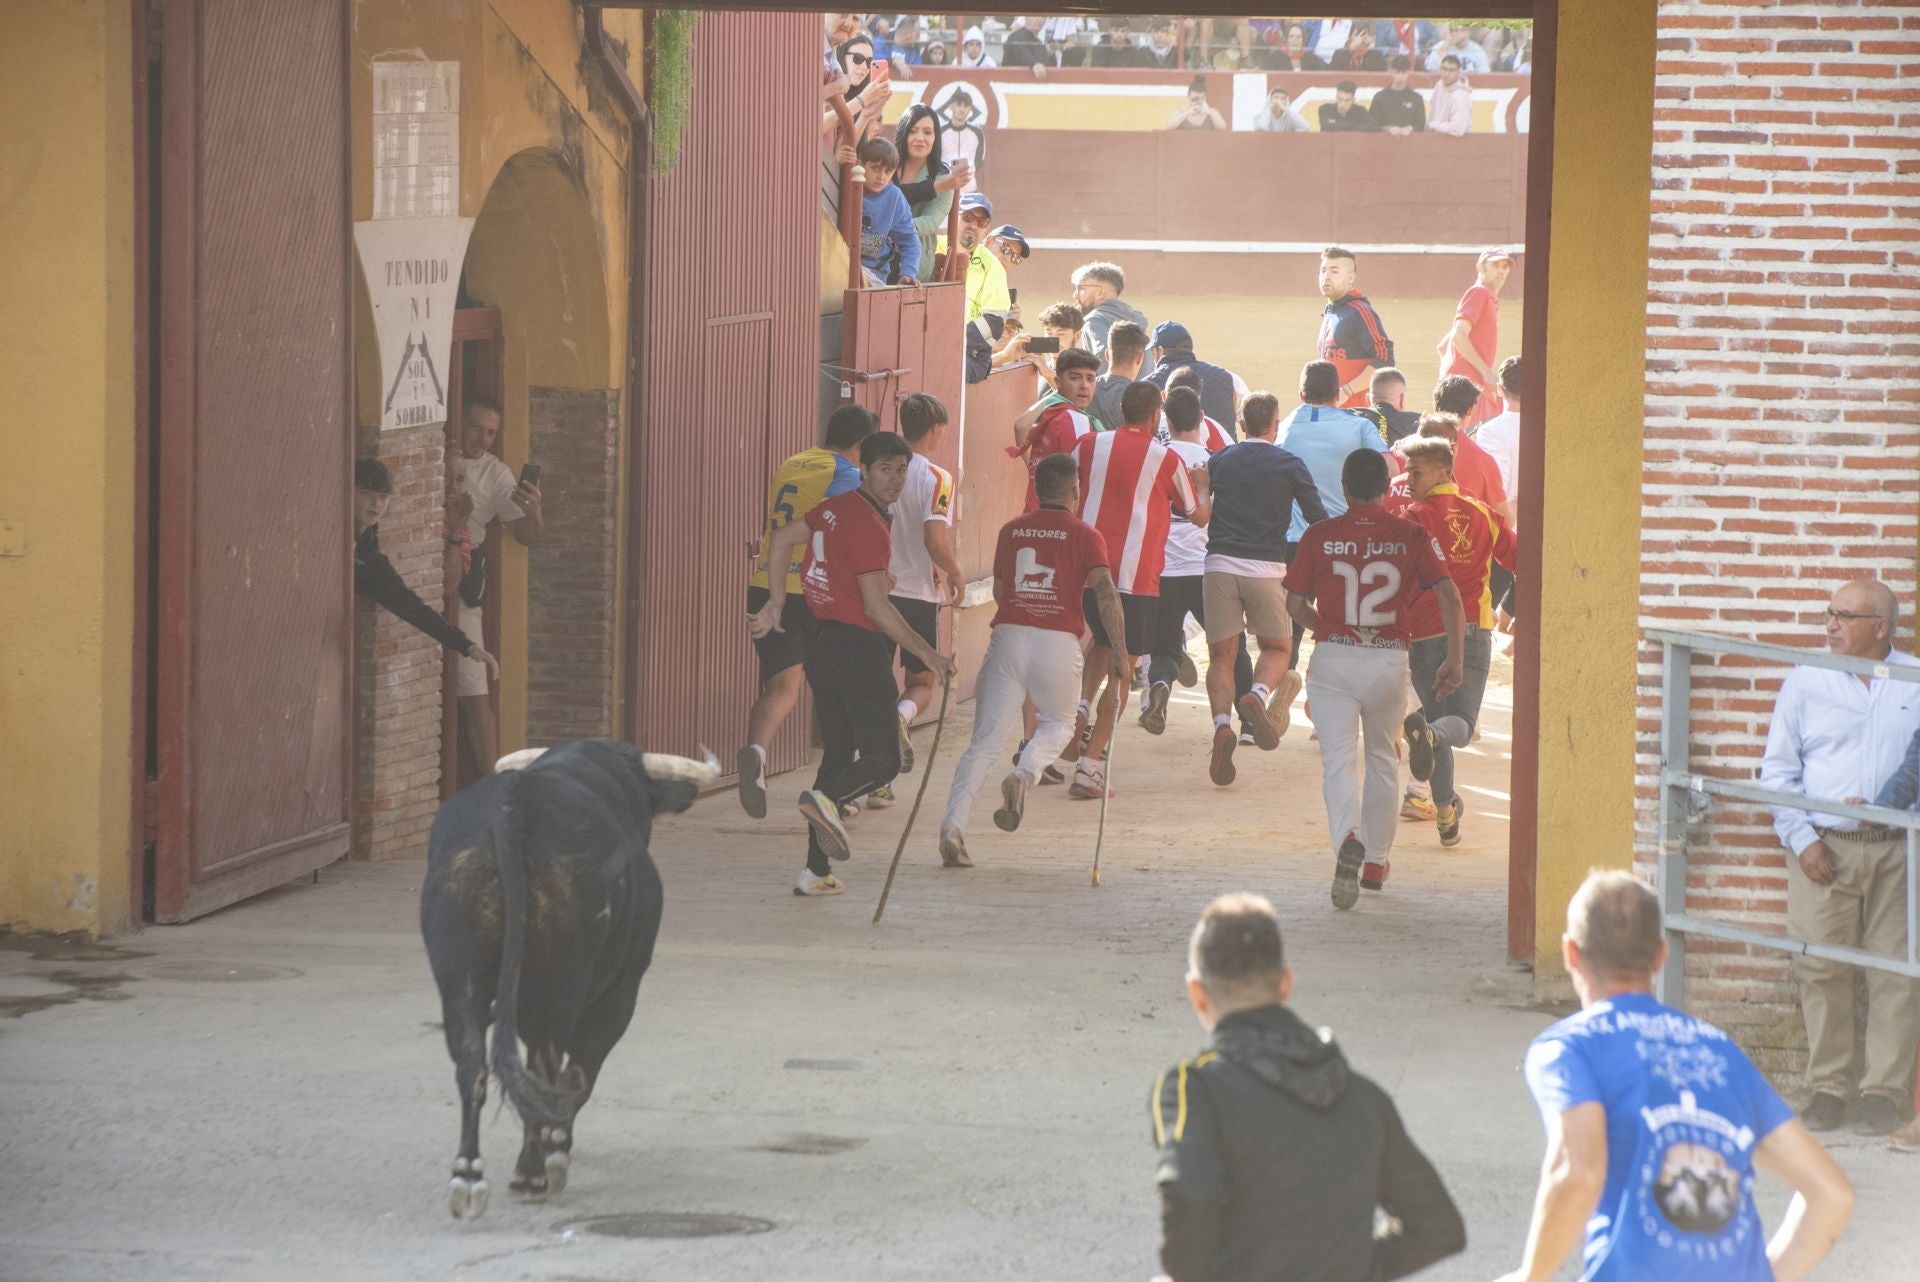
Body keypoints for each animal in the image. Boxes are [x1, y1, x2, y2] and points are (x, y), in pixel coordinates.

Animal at [422, 736, 721, 1220]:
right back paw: (534, 1170)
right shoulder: (619, 996)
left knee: (472, 1063)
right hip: (562, 988)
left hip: (458, 981)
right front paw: (557, 1147)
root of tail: (513, 807)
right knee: (547, 1068)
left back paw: (468, 1175)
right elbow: (581, 1072)